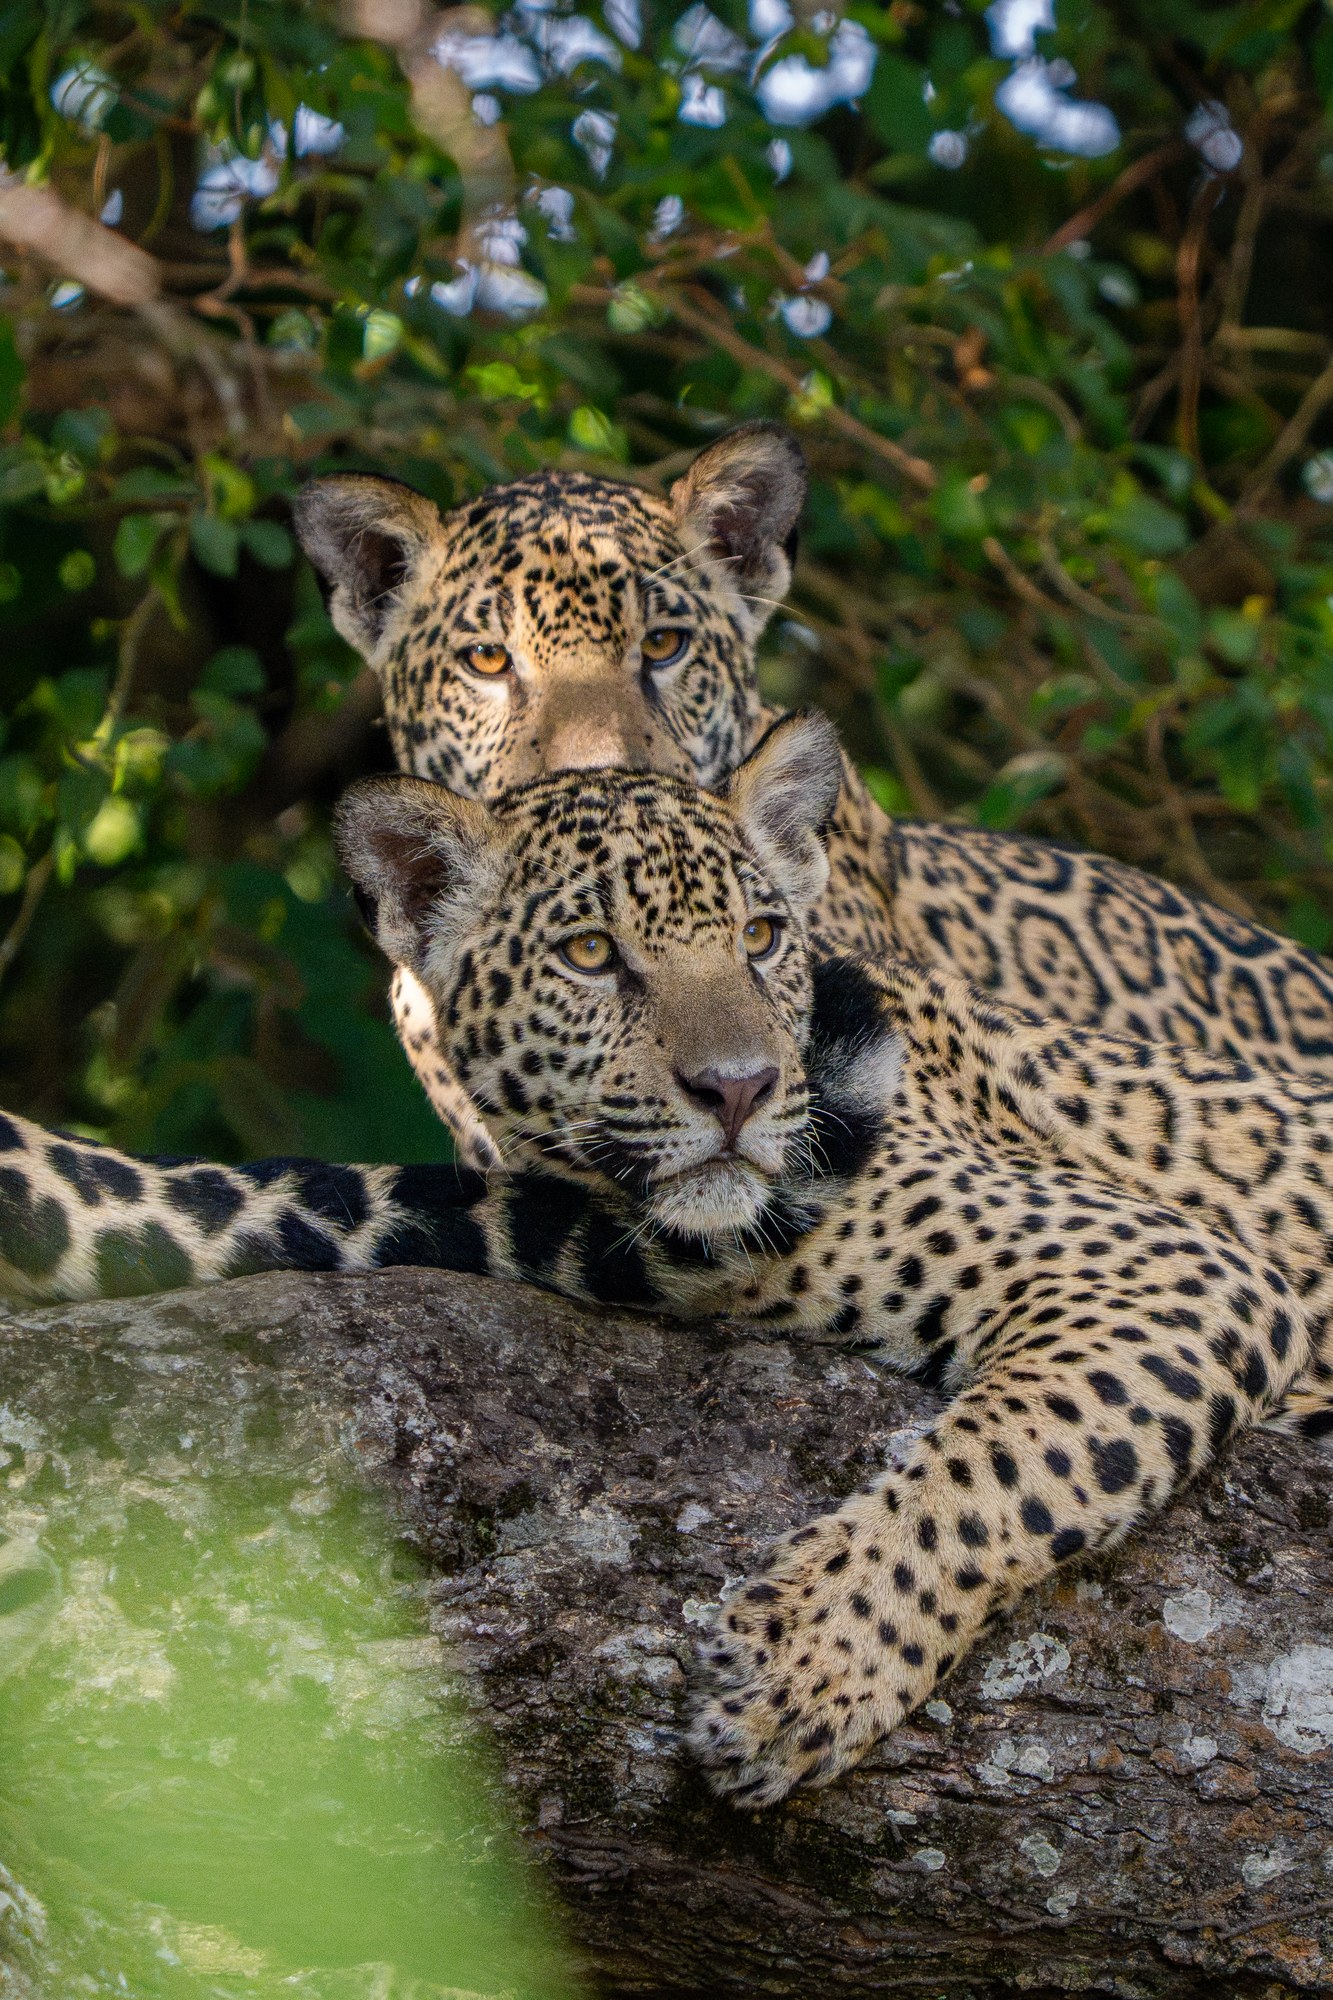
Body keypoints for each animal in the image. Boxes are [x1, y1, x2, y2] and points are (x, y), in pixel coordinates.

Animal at [2, 711, 1329, 1808]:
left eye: (762, 937)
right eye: (591, 952)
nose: (739, 1088)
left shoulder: (1175, 1266)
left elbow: (1002, 1465)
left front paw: (801, 1669)